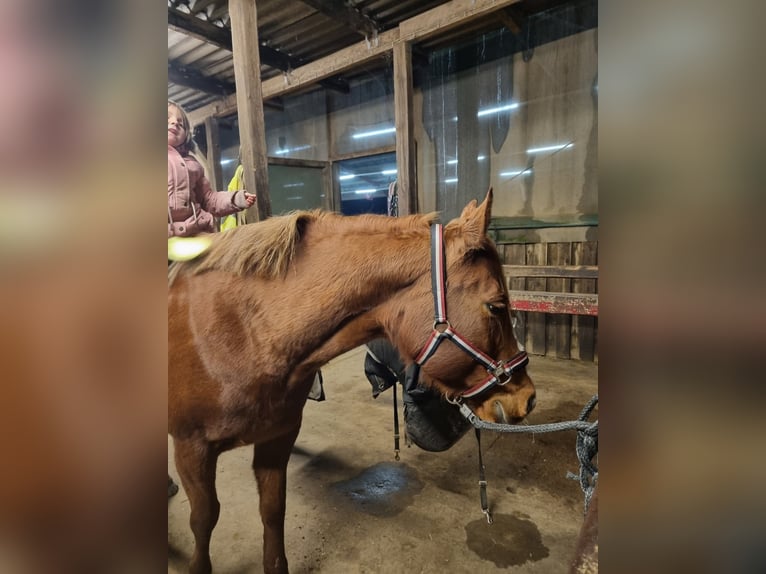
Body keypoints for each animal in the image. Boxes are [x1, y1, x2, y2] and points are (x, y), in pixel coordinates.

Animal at [168, 190, 536, 574]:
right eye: (496, 306)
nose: (527, 397)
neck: (244, 331)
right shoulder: (191, 449)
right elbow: (204, 519)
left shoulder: (275, 440)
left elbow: (272, 510)